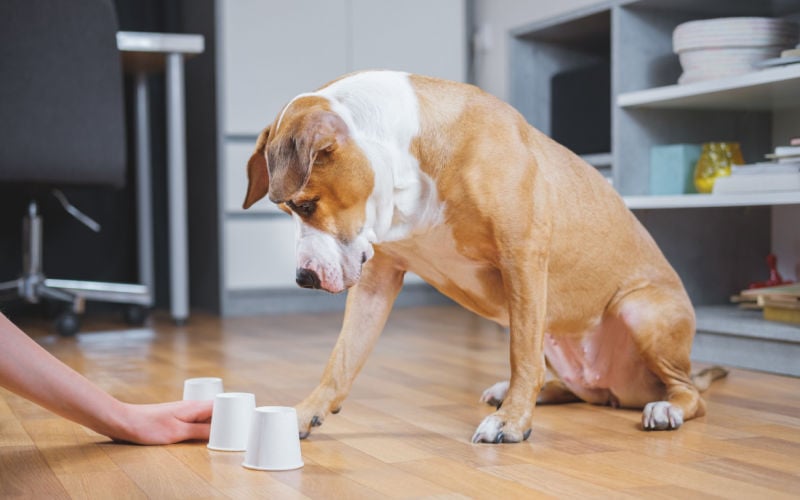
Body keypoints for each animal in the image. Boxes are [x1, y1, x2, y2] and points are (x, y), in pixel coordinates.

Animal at [242, 71, 724, 446]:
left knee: (689, 394)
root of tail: (621, 390)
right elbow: (341, 359)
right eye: (287, 210)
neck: (408, 160)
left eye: (305, 205)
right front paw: (304, 412)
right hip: (559, 335)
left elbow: (521, 355)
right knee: (577, 387)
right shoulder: (377, 280)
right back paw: (528, 392)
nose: (303, 277)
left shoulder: (522, 259)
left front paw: (511, 422)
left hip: (639, 310)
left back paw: (664, 408)